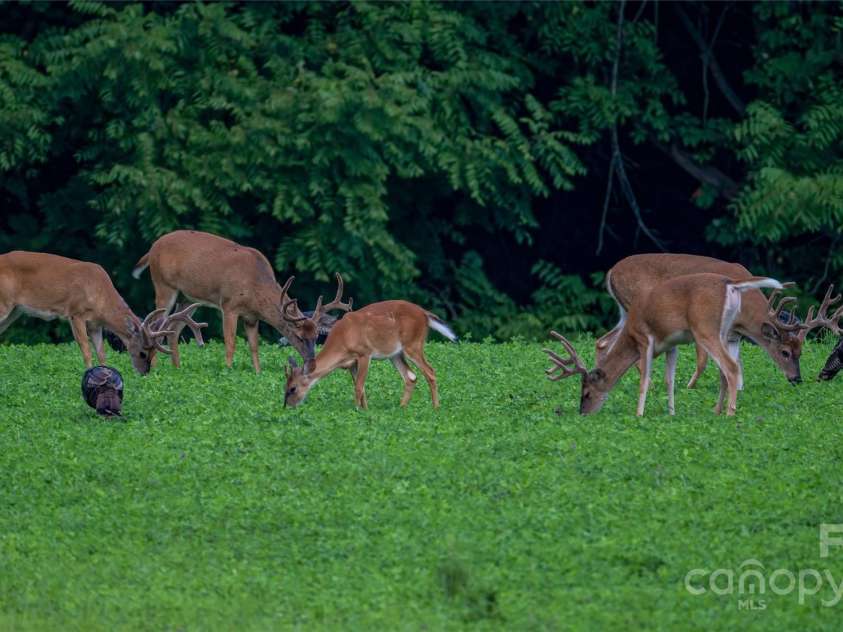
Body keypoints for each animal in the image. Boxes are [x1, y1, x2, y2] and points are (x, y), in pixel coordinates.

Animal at [0, 250, 206, 374]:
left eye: (154, 352)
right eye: (142, 353)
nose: (145, 373)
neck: (100, 295)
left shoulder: (95, 324)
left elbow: (101, 352)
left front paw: (105, 373)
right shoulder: (75, 313)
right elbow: (85, 349)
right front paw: (88, 372)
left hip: (14, 311)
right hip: (4, 304)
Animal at [132, 230, 352, 373]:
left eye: (316, 336)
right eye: (298, 336)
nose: (313, 365)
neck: (255, 285)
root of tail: (152, 248)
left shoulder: (251, 317)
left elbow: (254, 345)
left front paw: (258, 373)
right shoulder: (229, 305)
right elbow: (230, 342)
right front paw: (228, 370)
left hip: (187, 298)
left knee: (174, 328)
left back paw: (177, 368)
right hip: (163, 285)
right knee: (156, 324)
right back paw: (154, 367)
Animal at [283, 300, 458, 410]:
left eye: (293, 388)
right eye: (284, 386)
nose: (287, 407)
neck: (343, 339)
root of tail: (424, 313)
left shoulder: (364, 354)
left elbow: (359, 387)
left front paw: (356, 410)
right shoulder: (351, 363)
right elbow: (361, 388)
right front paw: (365, 411)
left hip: (413, 344)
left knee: (430, 372)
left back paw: (436, 408)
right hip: (395, 354)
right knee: (411, 377)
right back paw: (401, 408)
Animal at [544, 273, 788, 417]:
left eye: (586, 393)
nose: (583, 412)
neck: (630, 334)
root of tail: (731, 284)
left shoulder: (645, 339)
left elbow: (645, 379)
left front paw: (639, 414)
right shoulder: (672, 344)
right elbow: (669, 380)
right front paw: (671, 413)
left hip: (705, 329)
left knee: (731, 367)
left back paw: (729, 412)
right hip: (724, 331)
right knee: (724, 369)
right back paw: (716, 409)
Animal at [596, 253, 805, 389]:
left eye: (800, 352)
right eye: (785, 352)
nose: (797, 379)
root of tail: (611, 272)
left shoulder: (733, 334)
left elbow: (736, 362)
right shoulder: (703, 323)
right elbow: (703, 361)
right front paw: (690, 386)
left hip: (624, 311)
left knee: (603, 341)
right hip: (636, 309)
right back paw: (651, 385)